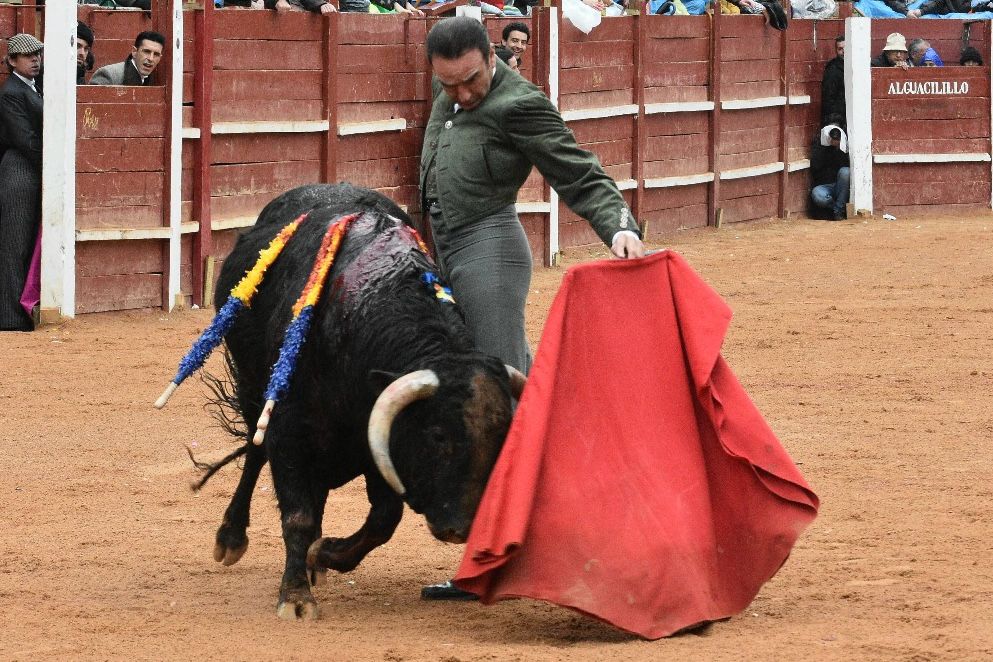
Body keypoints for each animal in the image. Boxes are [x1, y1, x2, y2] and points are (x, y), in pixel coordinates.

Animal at [205, 185, 524, 624]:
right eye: (437, 435)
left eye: (501, 439)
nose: (461, 528)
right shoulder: (289, 429)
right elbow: (297, 514)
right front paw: (296, 597)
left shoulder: (378, 441)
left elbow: (383, 519)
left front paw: (324, 554)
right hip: (256, 389)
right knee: (254, 454)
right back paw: (232, 537)